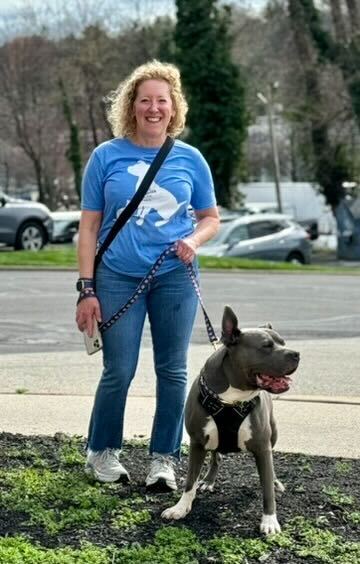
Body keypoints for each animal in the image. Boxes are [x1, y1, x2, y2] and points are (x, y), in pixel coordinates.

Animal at [162, 306, 300, 536]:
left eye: (283, 342)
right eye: (266, 346)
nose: (297, 354)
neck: (232, 398)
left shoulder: (262, 447)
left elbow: (267, 489)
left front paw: (269, 520)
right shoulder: (197, 442)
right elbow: (190, 480)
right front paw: (181, 508)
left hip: (273, 433)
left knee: (269, 473)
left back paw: (275, 482)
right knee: (216, 457)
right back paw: (208, 480)